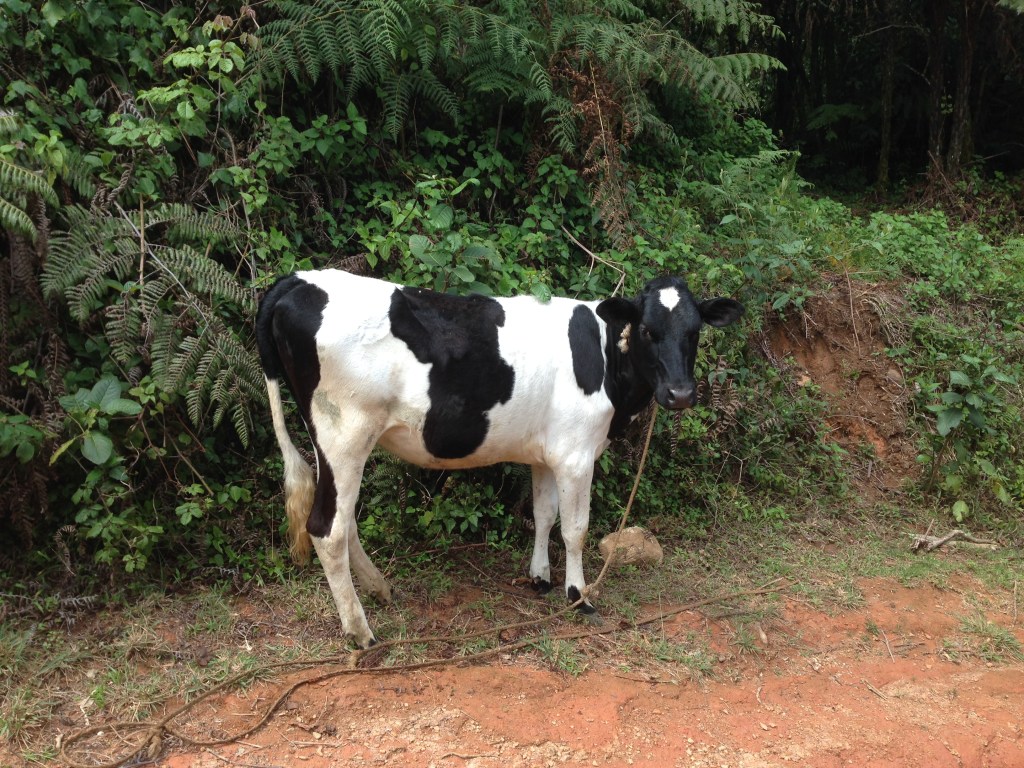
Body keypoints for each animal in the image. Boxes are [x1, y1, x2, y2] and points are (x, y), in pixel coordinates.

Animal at [255, 269, 744, 648]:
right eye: (646, 330)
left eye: (695, 331)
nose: (680, 394)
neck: (606, 358)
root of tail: (299, 279)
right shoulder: (576, 455)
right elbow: (575, 529)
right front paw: (578, 595)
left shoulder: (547, 453)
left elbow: (544, 515)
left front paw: (540, 578)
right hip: (343, 434)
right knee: (327, 529)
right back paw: (361, 632)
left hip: (336, 444)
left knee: (345, 520)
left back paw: (379, 589)